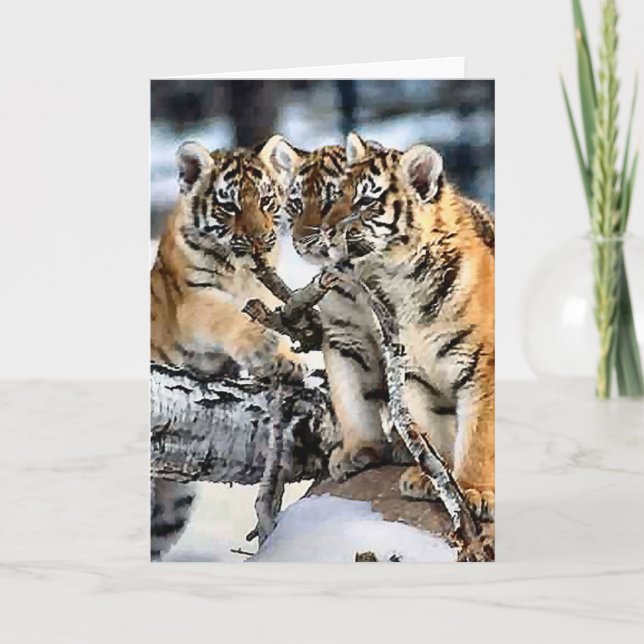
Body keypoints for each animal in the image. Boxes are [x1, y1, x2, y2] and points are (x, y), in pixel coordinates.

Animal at [150, 135, 304, 559]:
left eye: (266, 201)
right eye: (230, 206)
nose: (259, 242)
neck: (240, 272)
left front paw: (286, 361)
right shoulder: (194, 301)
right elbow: (228, 314)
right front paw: (262, 345)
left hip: (172, 505)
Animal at [285, 144, 410, 480]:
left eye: (330, 201)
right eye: (296, 204)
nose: (302, 240)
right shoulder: (345, 336)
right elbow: (352, 396)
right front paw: (359, 450)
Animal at [321, 132, 495, 519]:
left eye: (365, 201)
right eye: (338, 195)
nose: (325, 231)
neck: (401, 280)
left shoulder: (482, 369)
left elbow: (478, 436)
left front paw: (475, 490)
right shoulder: (411, 372)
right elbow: (431, 430)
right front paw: (430, 479)